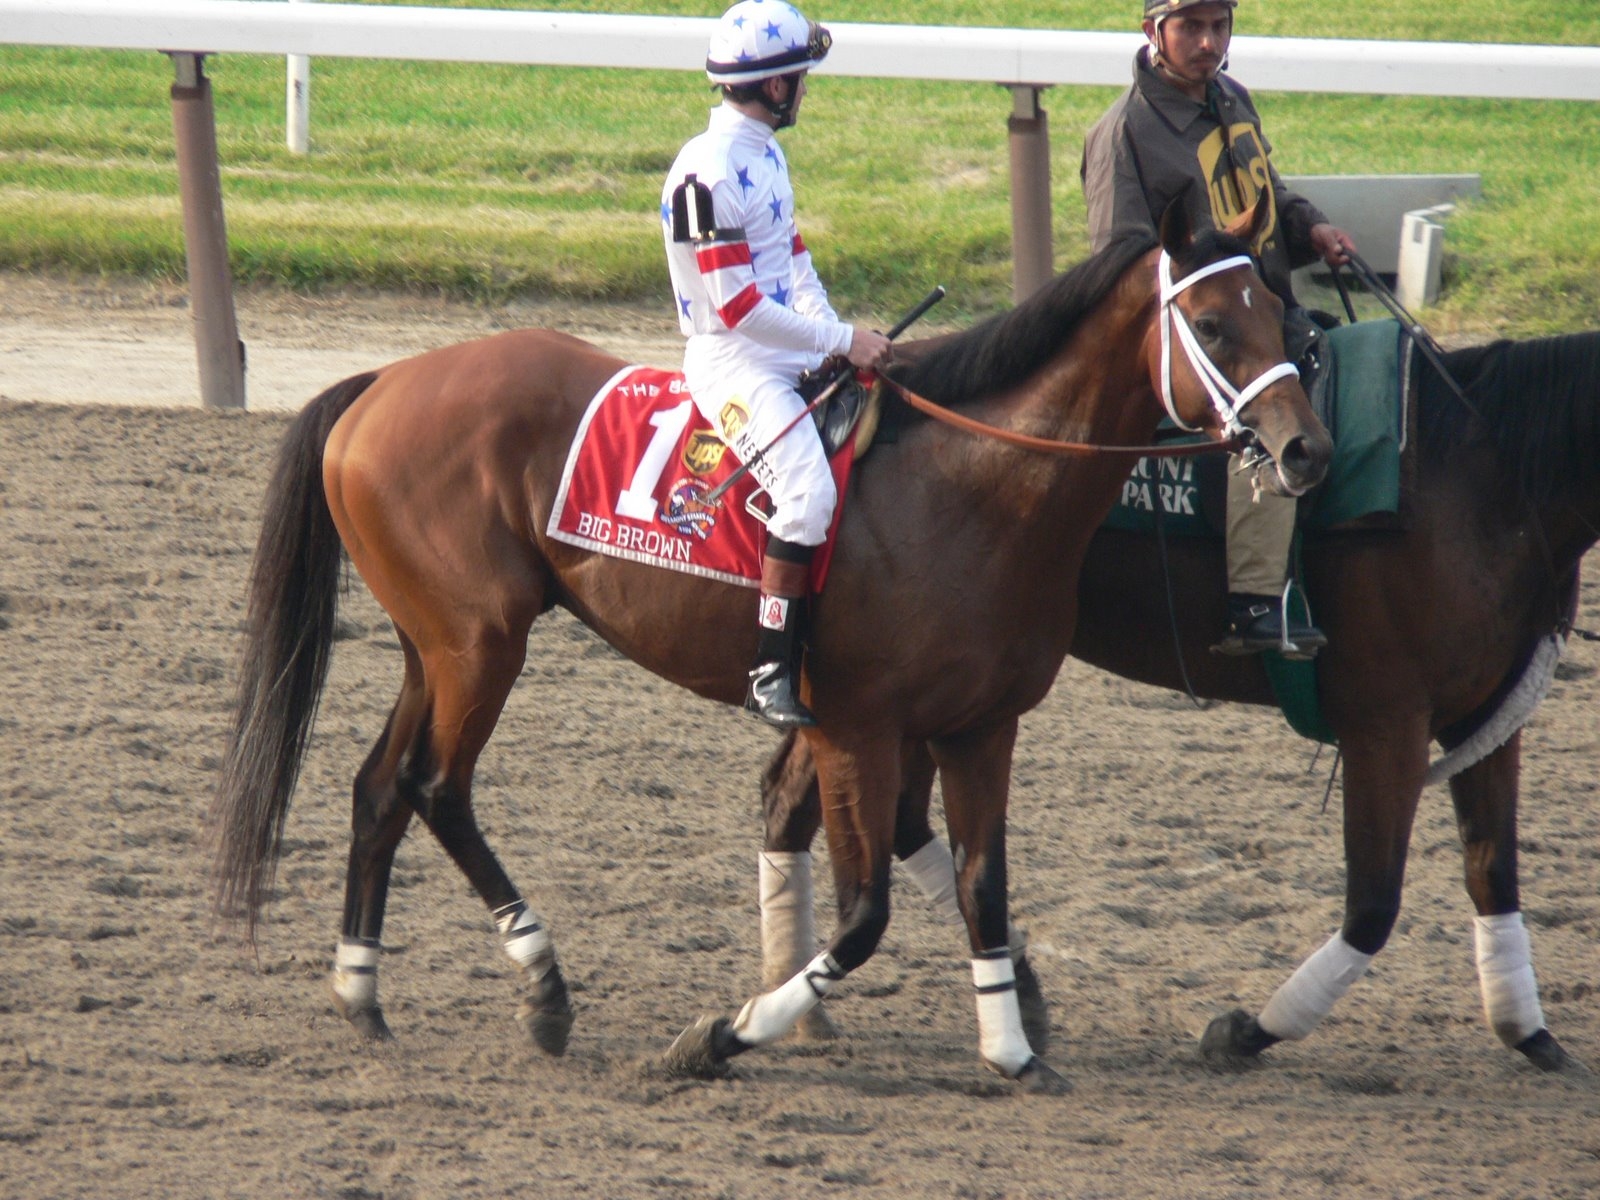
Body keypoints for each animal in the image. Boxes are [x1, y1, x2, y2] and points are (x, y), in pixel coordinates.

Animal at [208, 198, 1331, 1093]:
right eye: (1211, 322)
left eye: (1288, 316)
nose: (1303, 449)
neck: (972, 487)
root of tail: (382, 381)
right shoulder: (854, 729)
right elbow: (865, 913)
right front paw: (723, 1034)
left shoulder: (981, 726)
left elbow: (981, 885)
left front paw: (1011, 1047)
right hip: (483, 645)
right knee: (438, 787)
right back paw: (545, 987)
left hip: (433, 643)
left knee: (380, 785)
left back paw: (361, 990)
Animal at [757, 326, 1600, 1074]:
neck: (1476, 475)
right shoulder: (1386, 721)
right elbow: (1372, 906)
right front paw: (1249, 1030)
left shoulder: (1480, 718)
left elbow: (1493, 872)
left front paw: (1531, 1033)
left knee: (819, 804)